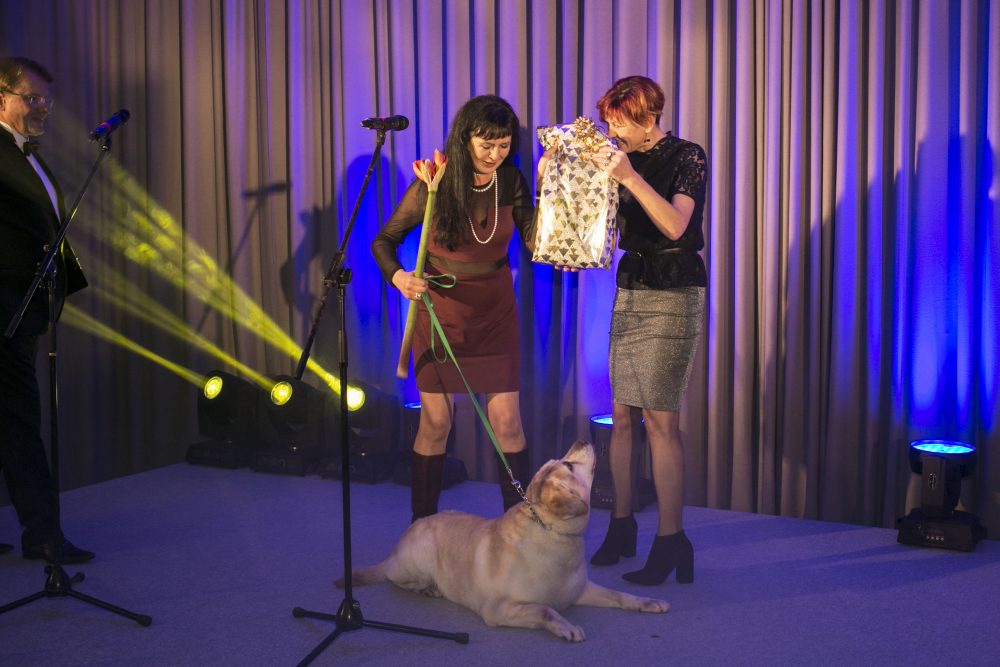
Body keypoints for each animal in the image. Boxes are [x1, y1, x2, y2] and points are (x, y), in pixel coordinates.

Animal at [336, 440, 668, 641]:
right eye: (569, 465)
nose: (582, 440)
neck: (552, 534)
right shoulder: (499, 609)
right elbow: (545, 610)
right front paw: (566, 626)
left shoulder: (581, 590)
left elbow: (620, 595)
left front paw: (648, 602)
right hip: (418, 556)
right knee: (394, 578)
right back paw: (426, 588)